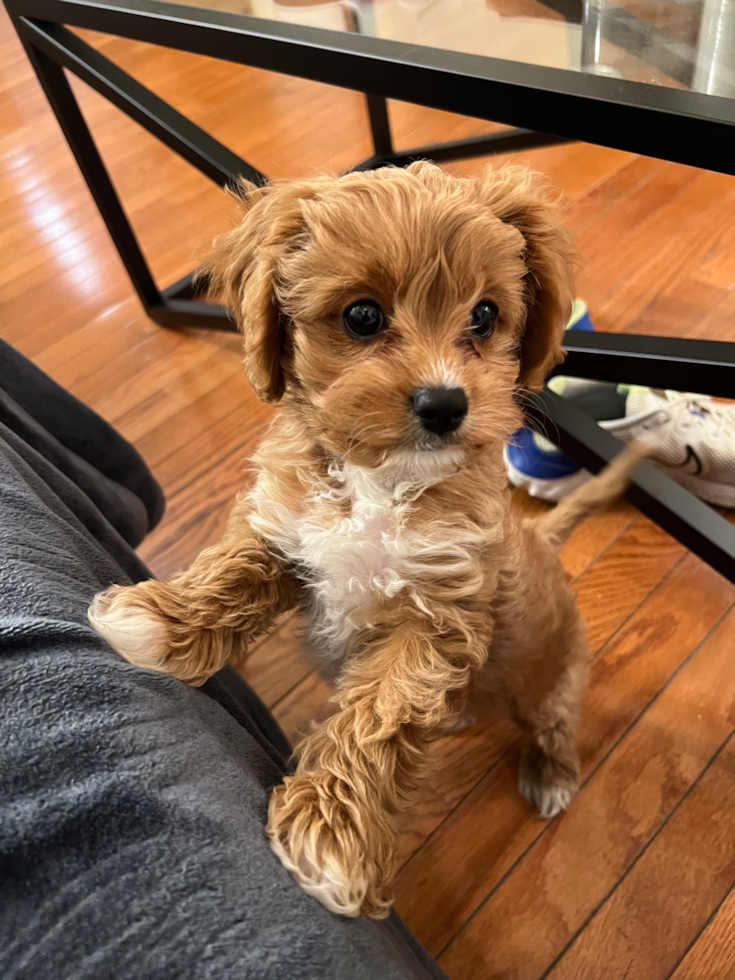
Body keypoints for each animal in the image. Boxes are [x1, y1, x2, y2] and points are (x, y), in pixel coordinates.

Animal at [86, 161, 640, 920]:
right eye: (362, 316)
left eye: (485, 315)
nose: (445, 404)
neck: (381, 479)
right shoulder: (290, 530)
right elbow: (234, 570)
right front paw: (160, 620)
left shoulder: (433, 617)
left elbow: (379, 716)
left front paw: (329, 834)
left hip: (557, 675)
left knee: (553, 720)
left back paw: (551, 774)